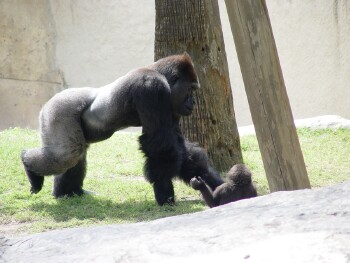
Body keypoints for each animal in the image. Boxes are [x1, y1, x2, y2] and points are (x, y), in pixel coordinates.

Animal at [21, 53, 223, 206]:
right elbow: (160, 144)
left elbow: (181, 148)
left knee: (74, 154)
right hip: (58, 110)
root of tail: (50, 101)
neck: (158, 72)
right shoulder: (152, 88)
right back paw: (28, 165)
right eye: (190, 89)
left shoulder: (172, 106)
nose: (193, 103)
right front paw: (164, 192)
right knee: (67, 154)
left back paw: (67, 193)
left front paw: (211, 180)